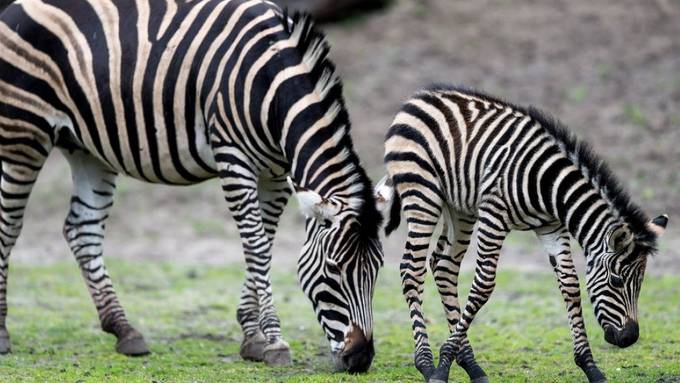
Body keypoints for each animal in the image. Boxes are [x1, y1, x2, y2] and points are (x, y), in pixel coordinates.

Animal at [0, 0, 382, 372]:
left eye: (376, 271)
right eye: (334, 269)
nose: (360, 359)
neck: (273, 85)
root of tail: (14, 7)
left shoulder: (276, 172)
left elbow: (266, 243)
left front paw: (251, 336)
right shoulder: (233, 157)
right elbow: (256, 245)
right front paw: (273, 340)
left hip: (87, 149)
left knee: (83, 230)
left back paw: (124, 330)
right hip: (23, 134)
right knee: (9, 228)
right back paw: (4, 335)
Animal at [378, 85, 668, 383]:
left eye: (640, 284)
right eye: (617, 281)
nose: (629, 338)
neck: (549, 188)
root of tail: (419, 96)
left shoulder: (552, 228)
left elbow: (570, 285)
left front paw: (590, 367)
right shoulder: (494, 215)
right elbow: (483, 285)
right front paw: (442, 364)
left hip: (458, 207)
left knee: (444, 266)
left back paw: (471, 365)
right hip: (423, 193)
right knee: (411, 270)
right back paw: (426, 363)